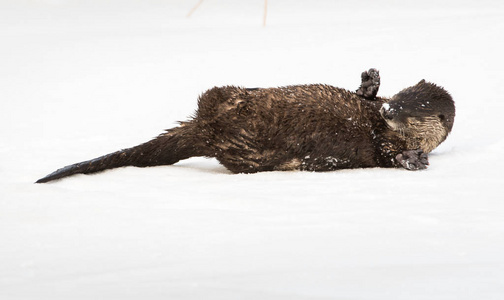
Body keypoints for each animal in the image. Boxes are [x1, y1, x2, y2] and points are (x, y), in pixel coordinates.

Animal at [34, 69, 452, 183]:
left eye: (412, 109)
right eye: (400, 96)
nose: (389, 109)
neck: (377, 124)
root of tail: (206, 129)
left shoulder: (385, 146)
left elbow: (391, 155)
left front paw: (415, 159)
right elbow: (361, 94)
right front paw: (369, 82)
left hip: (240, 145)